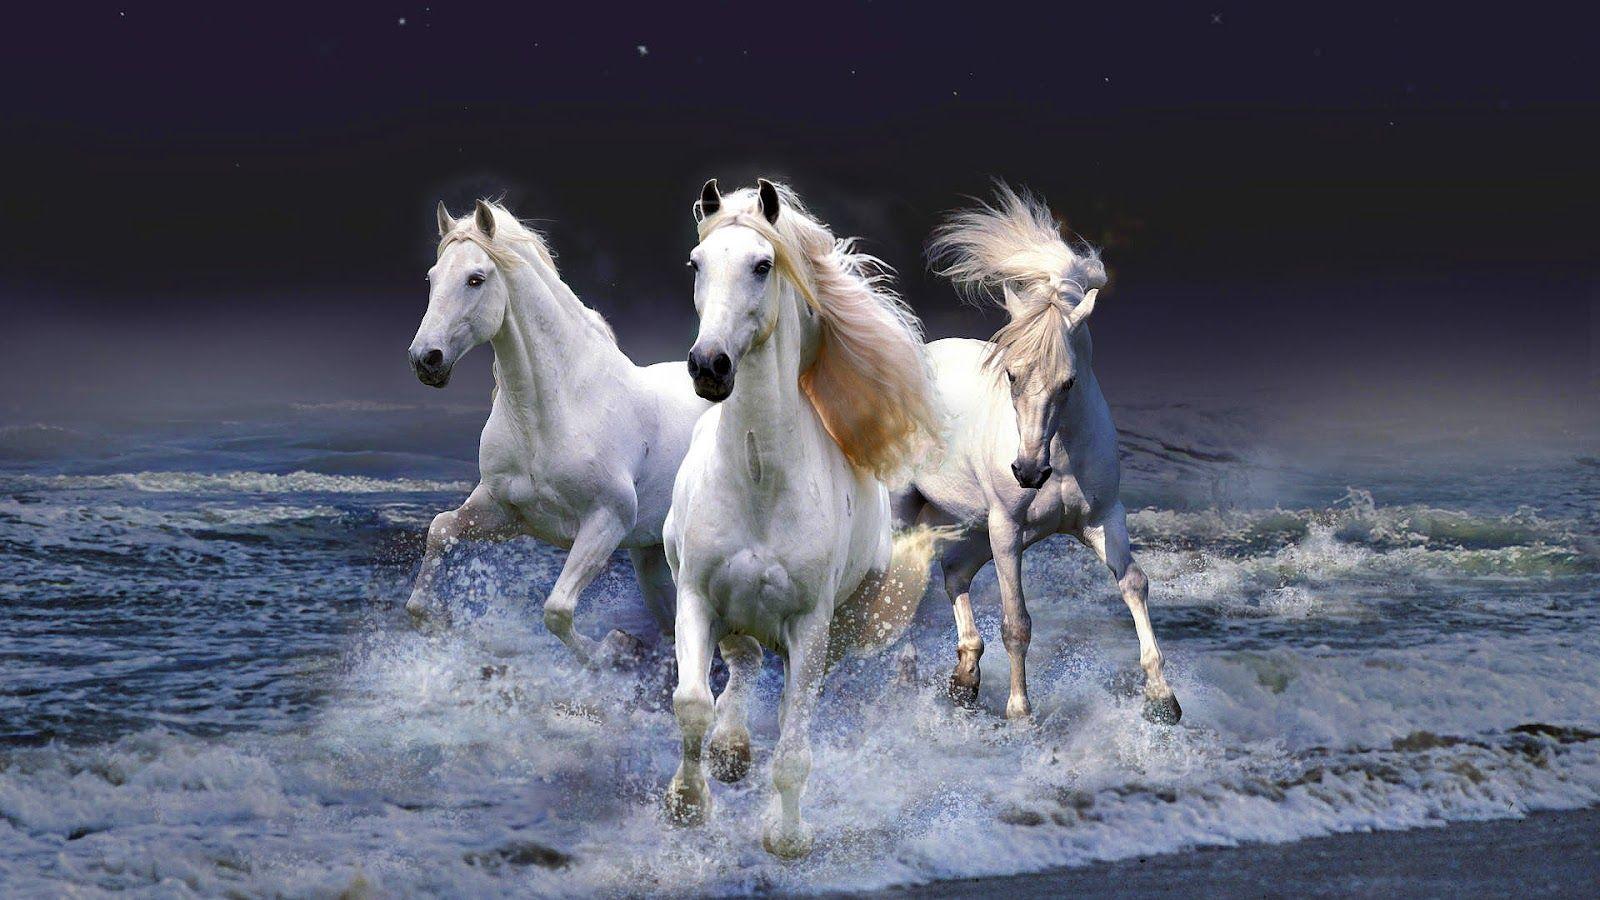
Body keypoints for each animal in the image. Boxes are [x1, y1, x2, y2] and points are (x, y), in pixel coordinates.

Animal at [405, 199, 710, 665]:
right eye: (432, 277)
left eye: (475, 279)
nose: (426, 359)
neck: (554, 413)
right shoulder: (504, 512)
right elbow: (440, 530)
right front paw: (441, 623)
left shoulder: (607, 521)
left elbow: (557, 610)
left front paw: (613, 649)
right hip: (651, 557)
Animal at [662, 179, 942, 858]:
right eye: (696, 263)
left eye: (763, 265)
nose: (709, 366)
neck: (759, 478)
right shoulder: (697, 595)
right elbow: (692, 703)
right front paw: (688, 804)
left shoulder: (810, 626)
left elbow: (793, 750)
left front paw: (786, 839)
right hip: (730, 609)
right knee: (741, 663)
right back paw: (731, 750)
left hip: (835, 628)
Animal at [893, 184, 1182, 725]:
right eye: (1011, 374)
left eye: (1068, 381)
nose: (1028, 471)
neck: (1061, 456)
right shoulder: (1008, 529)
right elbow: (1017, 622)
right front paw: (1020, 714)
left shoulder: (1102, 519)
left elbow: (1134, 584)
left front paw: (1163, 699)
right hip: (913, 512)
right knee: (902, 584)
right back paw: (908, 675)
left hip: (971, 523)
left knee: (953, 572)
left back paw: (965, 679)